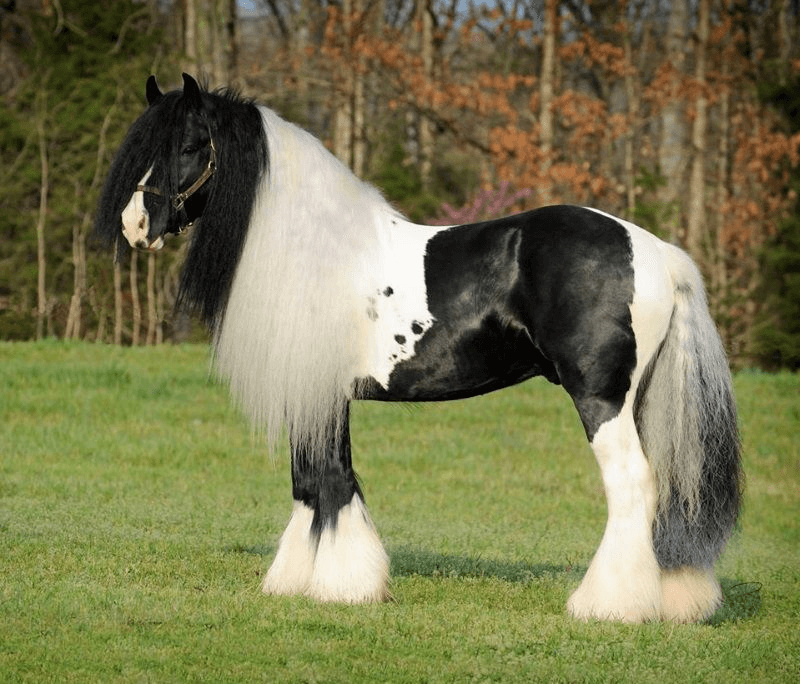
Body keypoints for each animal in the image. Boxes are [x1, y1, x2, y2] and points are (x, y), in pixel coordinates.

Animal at [95, 72, 744, 624]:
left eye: (191, 144)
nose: (135, 224)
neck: (318, 253)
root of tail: (655, 249)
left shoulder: (320, 394)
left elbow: (332, 480)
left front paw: (345, 586)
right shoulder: (317, 395)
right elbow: (309, 484)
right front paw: (297, 580)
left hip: (601, 398)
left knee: (632, 484)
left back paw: (608, 605)